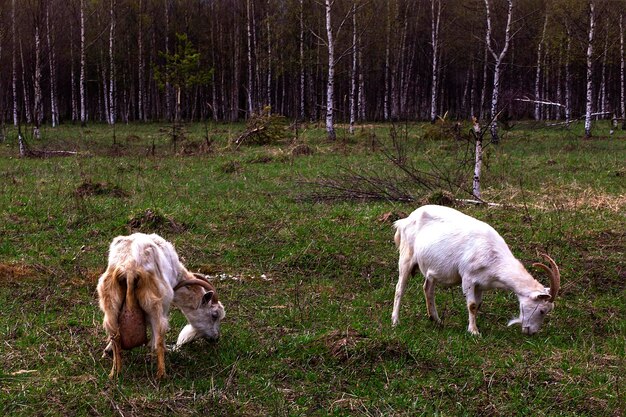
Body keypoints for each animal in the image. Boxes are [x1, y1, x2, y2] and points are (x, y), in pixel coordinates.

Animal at [96, 232, 225, 378]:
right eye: (214, 315)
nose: (216, 338)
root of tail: (129, 268)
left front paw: (107, 351)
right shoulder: (165, 305)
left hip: (110, 303)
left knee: (116, 336)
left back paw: (115, 372)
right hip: (155, 304)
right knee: (158, 338)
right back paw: (161, 374)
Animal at [390, 205, 560, 334]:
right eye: (542, 310)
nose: (531, 332)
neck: (494, 257)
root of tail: (404, 221)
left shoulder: (481, 284)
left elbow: (477, 305)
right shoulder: (468, 278)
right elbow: (471, 305)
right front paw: (474, 332)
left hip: (432, 269)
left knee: (428, 288)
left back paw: (436, 320)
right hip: (406, 257)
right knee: (399, 288)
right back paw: (395, 321)